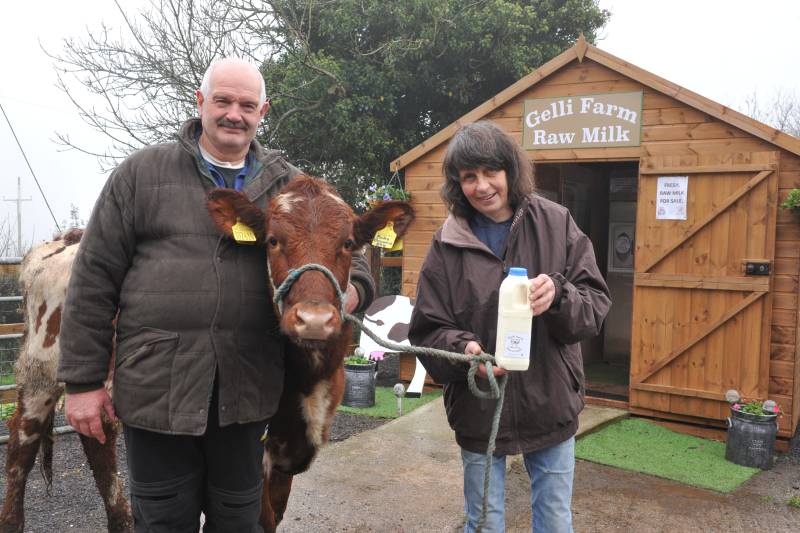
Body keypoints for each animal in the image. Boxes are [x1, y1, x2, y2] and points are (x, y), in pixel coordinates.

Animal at [206, 174, 416, 528]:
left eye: (348, 243)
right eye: (272, 241)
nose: (314, 320)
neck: (308, 381)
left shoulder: (289, 457)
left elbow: (277, 513)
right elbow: (262, 518)